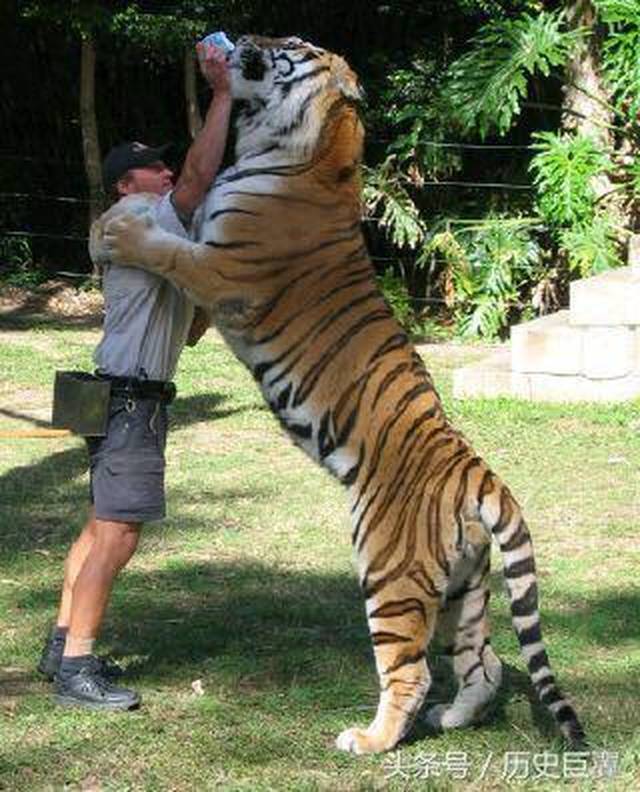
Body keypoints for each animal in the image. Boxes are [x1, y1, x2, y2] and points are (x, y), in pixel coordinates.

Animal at [95, 35, 584, 756]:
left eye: (291, 47)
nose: (240, 41)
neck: (305, 149)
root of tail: (480, 473)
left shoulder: (221, 269)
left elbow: (166, 250)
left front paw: (119, 232)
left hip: (390, 570)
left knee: (409, 671)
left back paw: (370, 740)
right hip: (464, 586)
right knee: (485, 663)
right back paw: (451, 718)